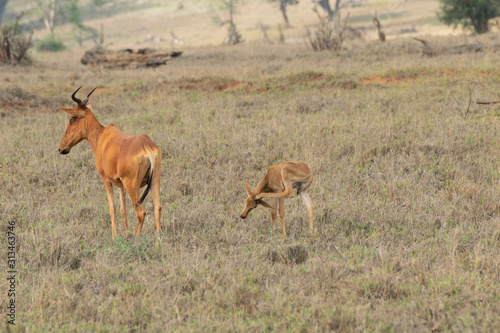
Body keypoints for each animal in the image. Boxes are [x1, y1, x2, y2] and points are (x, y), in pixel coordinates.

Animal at [58, 85, 161, 236]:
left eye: (72, 118)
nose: (61, 148)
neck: (103, 137)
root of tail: (146, 147)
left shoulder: (106, 179)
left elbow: (112, 209)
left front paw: (115, 237)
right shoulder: (121, 184)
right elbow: (123, 210)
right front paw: (126, 234)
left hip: (132, 185)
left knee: (140, 212)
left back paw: (137, 239)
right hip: (154, 181)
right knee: (157, 208)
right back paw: (159, 238)